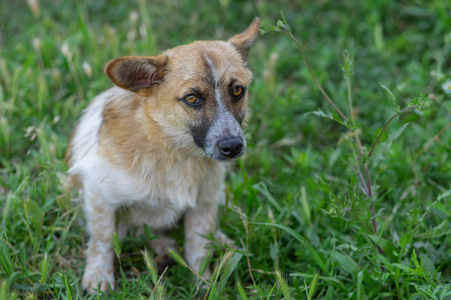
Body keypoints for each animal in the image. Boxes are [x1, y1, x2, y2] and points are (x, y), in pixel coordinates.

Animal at [65, 17, 260, 292]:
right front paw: (98, 279)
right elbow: (102, 241)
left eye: (237, 91)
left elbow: (199, 248)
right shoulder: (99, 195)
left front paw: (204, 285)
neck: (174, 152)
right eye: (192, 98)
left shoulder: (203, 203)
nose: (232, 146)